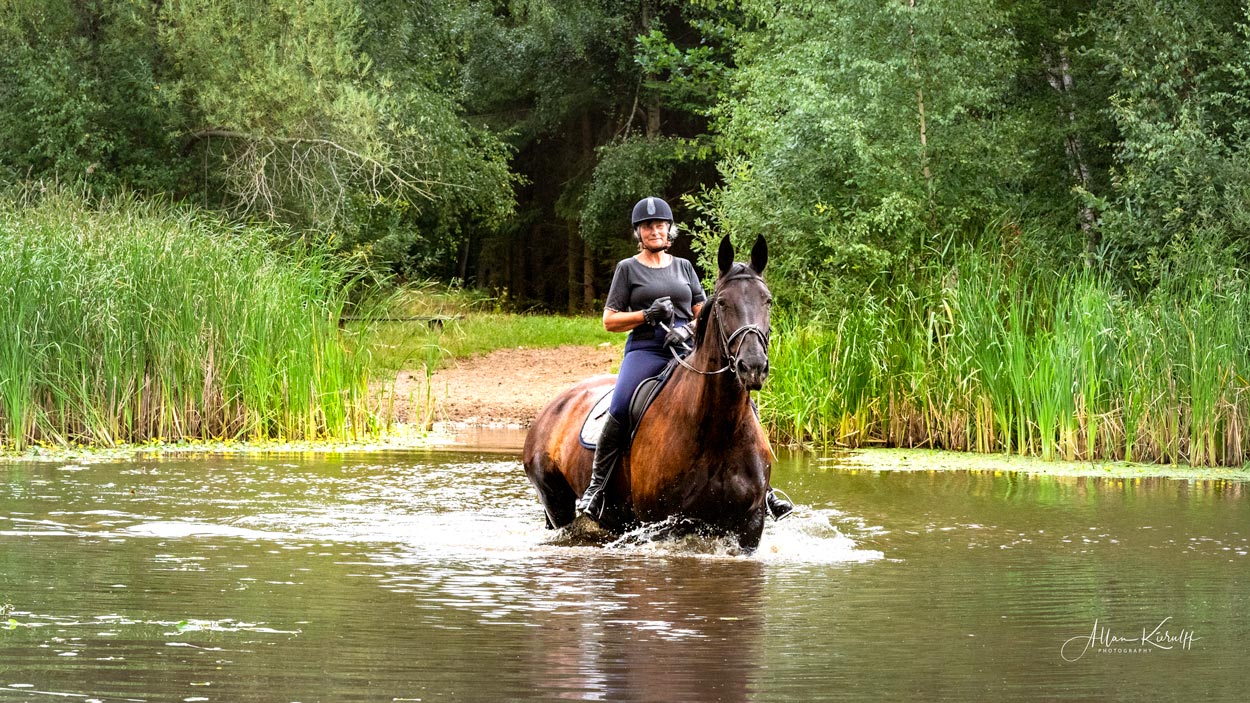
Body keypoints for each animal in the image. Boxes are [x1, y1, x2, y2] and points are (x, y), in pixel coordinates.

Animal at [517, 235, 770, 552]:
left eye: (767, 300)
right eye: (723, 303)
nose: (753, 366)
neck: (718, 430)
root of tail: (551, 408)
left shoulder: (751, 524)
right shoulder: (663, 524)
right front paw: (659, 311)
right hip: (556, 501)